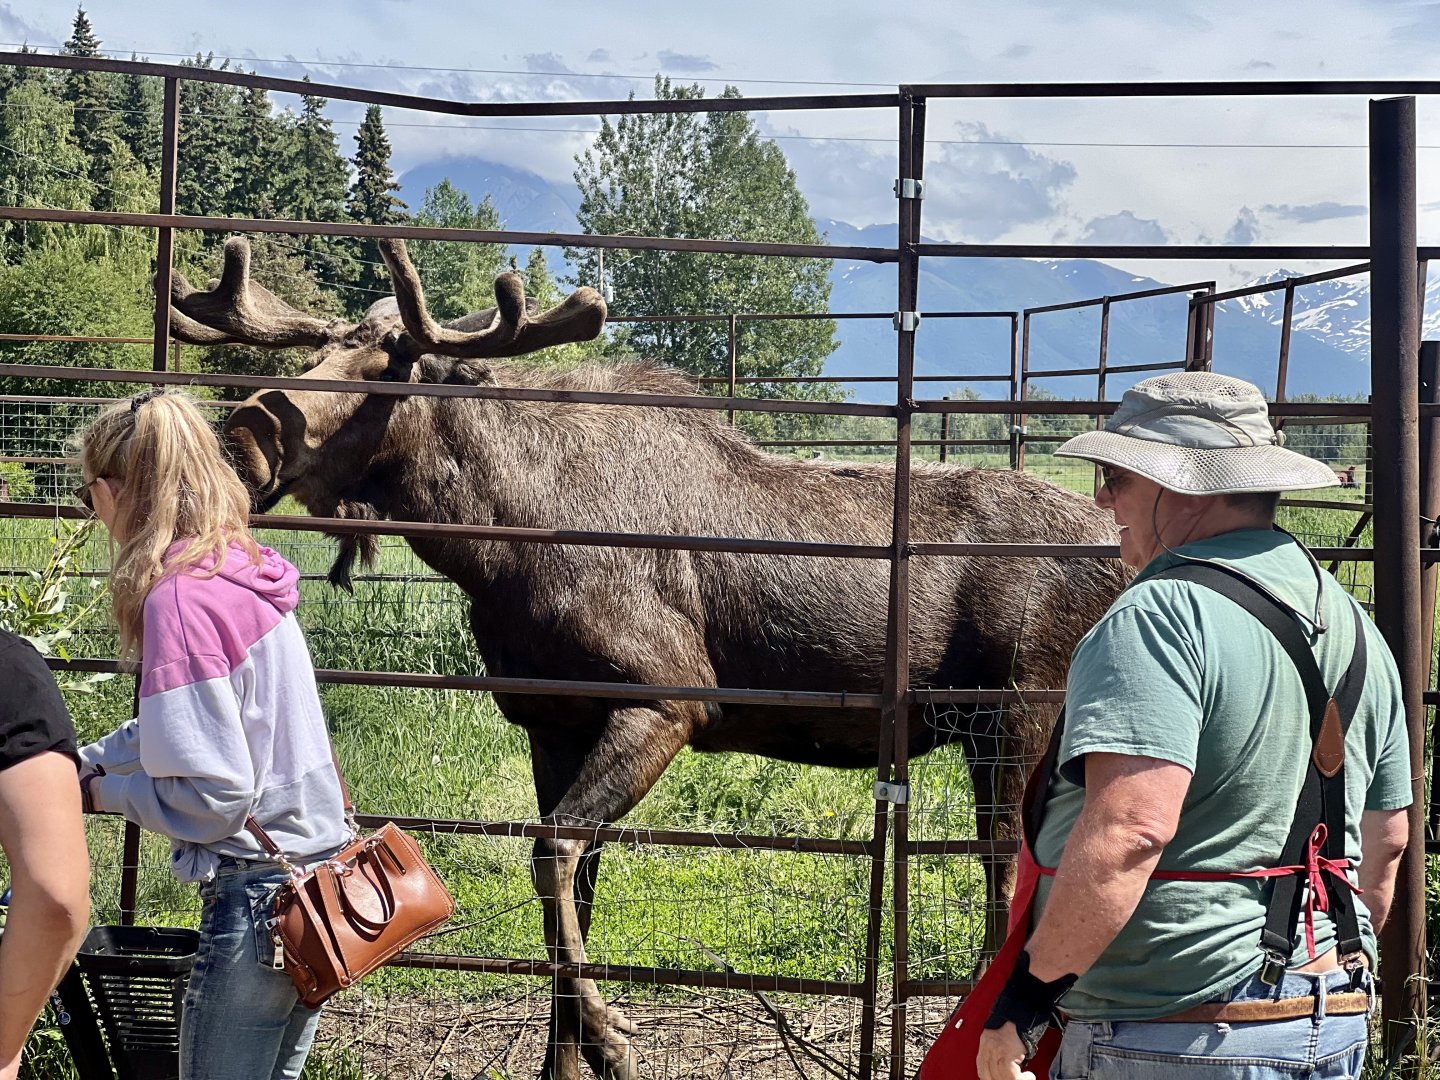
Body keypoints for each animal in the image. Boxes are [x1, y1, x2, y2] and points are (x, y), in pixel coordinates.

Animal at [166, 236, 1130, 1080]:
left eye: (388, 368)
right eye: (322, 350)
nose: (243, 431)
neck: (498, 549)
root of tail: (1121, 554)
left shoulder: (669, 701)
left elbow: (552, 851)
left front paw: (613, 1041)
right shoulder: (549, 725)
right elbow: (570, 892)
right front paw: (568, 1058)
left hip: (1018, 716)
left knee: (1014, 880)